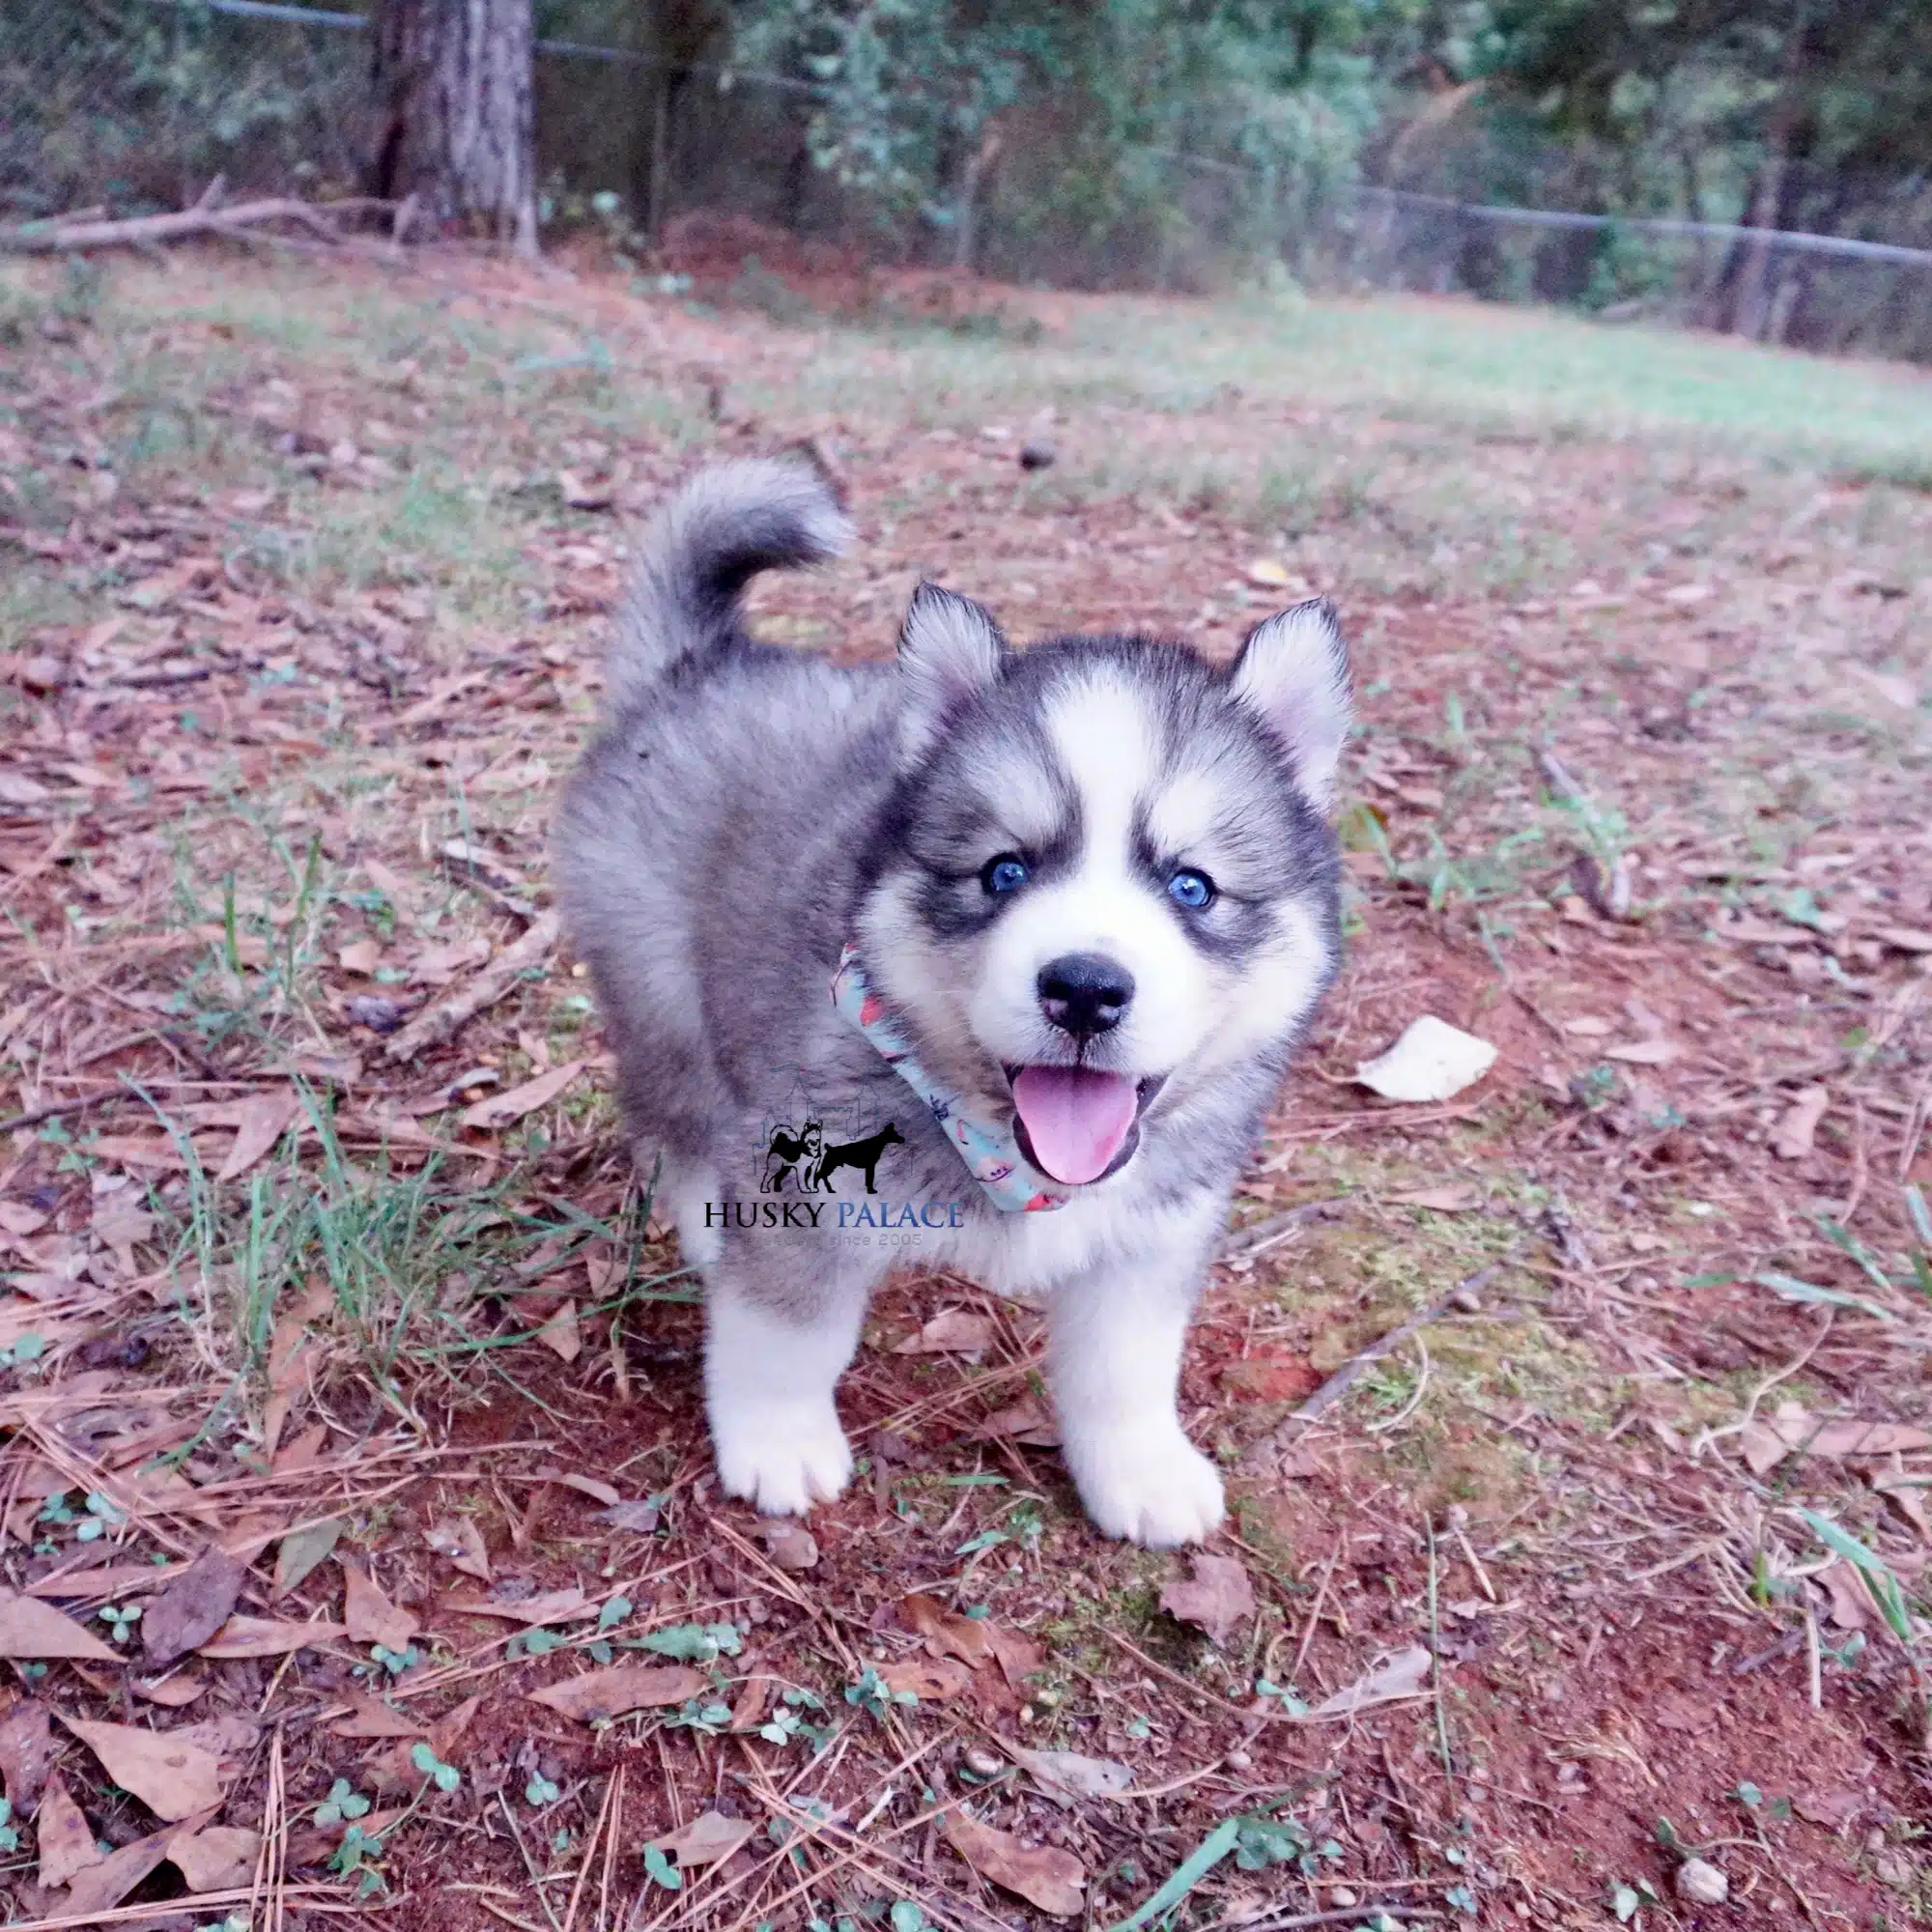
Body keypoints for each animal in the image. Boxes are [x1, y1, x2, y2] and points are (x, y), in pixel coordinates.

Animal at [553, 460, 1352, 1546]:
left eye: (1190, 886)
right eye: (1002, 871)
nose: (1084, 989)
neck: (1002, 1147)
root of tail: (702, 664)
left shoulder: (1153, 1231)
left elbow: (1126, 1366)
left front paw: (1138, 1467)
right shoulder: (809, 1204)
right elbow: (787, 1334)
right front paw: (777, 1437)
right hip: (664, 997)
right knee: (676, 1127)